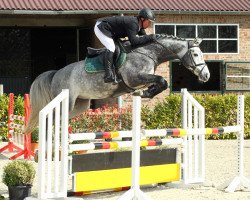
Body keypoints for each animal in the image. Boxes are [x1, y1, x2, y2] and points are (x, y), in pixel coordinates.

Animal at [24, 35, 210, 134]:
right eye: (195, 54)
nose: (206, 75)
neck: (148, 53)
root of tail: (56, 73)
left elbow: (160, 82)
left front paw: (146, 92)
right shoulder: (134, 78)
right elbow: (162, 80)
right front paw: (147, 93)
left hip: (80, 105)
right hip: (66, 100)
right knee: (51, 119)